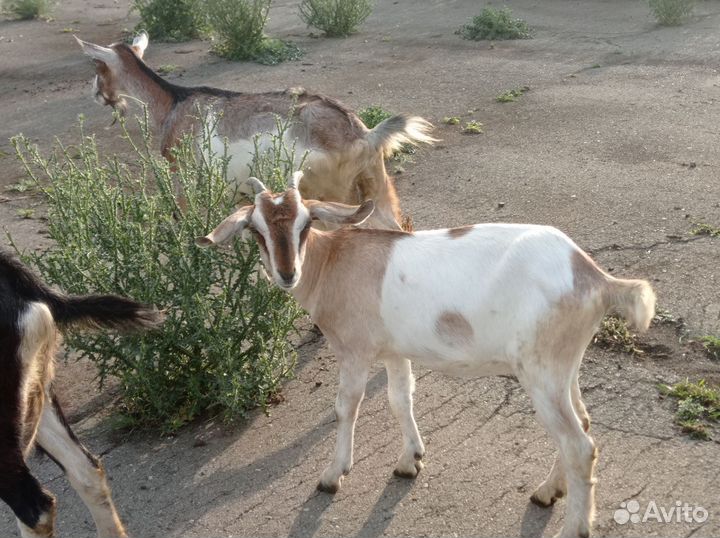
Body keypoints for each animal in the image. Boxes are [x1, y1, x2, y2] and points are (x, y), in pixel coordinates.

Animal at [74, 33, 435, 230]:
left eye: (97, 65)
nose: (95, 93)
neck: (173, 102)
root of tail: (364, 134)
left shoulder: (183, 179)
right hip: (376, 187)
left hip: (335, 197)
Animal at [197, 172, 656, 538]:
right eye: (256, 230)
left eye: (306, 223)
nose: (287, 273)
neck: (333, 265)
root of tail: (595, 278)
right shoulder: (393, 350)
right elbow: (401, 399)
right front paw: (409, 460)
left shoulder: (355, 351)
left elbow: (346, 407)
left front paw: (332, 476)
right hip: (563, 369)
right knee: (582, 422)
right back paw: (547, 493)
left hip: (540, 372)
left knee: (579, 445)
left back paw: (573, 526)